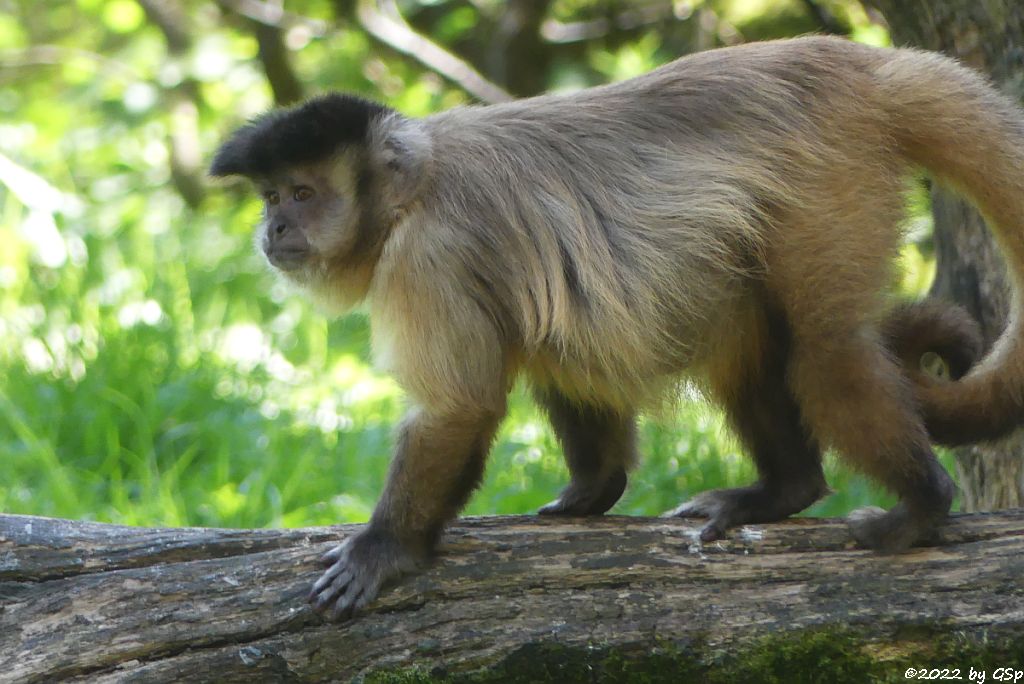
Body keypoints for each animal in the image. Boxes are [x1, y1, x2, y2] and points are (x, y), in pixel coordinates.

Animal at [211, 36, 1024, 618]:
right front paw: (591, 491)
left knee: (824, 351)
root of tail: (864, 66)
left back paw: (923, 505)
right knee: (745, 342)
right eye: (271, 197)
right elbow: (555, 339)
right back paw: (784, 490)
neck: (413, 190)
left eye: (304, 195)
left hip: (830, 176)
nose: (274, 228)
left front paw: (386, 549)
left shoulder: (428, 257)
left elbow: (456, 408)